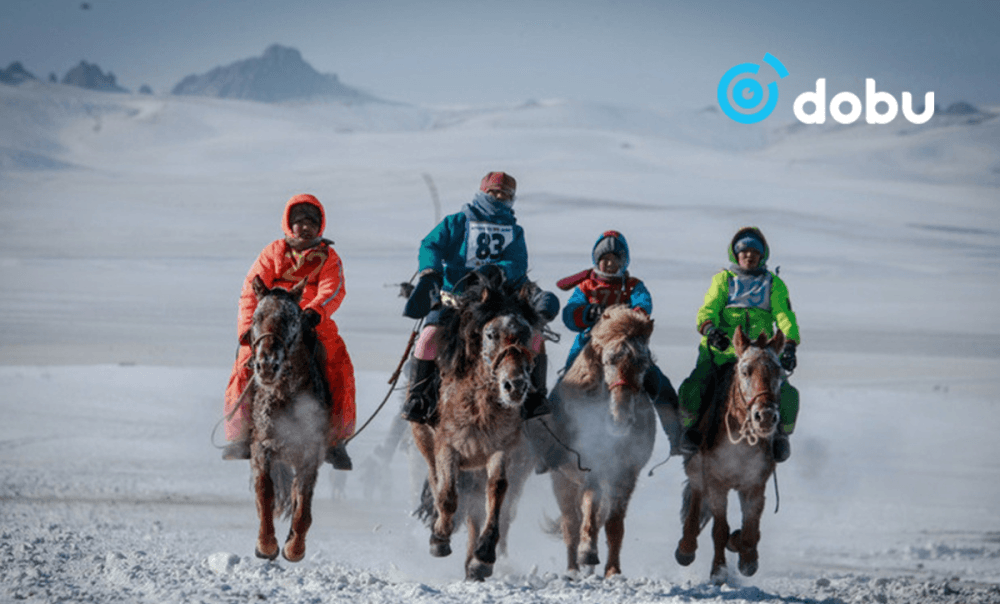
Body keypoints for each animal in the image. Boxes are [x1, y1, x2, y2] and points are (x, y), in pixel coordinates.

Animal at [248, 276, 330, 564]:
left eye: (291, 319)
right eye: (257, 317)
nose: (267, 366)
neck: (286, 395)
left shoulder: (310, 451)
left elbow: (303, 502)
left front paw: (294, 548)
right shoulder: (262, 447)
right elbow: (265, 492)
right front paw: (265, 545)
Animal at [410, 270, 544, 580]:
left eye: (527, 334)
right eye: (491, 334)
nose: (515, 386)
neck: (478, 405)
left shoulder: (501, 448)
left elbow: (497, 492)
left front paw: (483, 556)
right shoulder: (447, 445)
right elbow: (447, 493)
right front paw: (439, 538)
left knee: (475, 510)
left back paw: (473, 564)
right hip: (424, 437)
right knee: (436, 481)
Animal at [544, 304, 660, 580]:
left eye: (644, 363)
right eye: (609, 360)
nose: (621, 419)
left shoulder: (625, 475)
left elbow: (613, 524)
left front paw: (613, 571)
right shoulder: (590, 469)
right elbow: (588, 512)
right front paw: (587, 553)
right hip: (561, 480)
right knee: (570, 522)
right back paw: (573, 569)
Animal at [676, 326, 784, 584]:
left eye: (779, 372)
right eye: (745, 371)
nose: (765, 416)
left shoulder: (755, 484)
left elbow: (751, 530)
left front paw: (746, 559)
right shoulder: (717, 483)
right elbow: (719, 530)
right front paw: (718, 572)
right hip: (696, 468)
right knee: (695, 500)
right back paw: (685, 548)